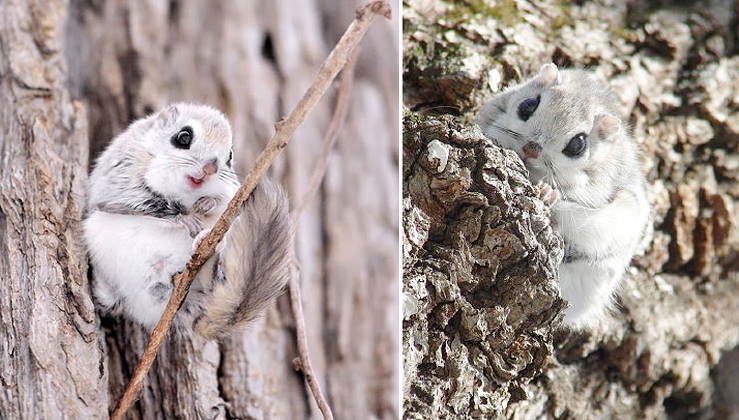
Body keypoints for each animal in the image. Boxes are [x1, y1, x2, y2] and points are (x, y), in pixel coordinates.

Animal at [84, 103, 292, 340]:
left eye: (230, 156)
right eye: (183, 137)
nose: (210, 168)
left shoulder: (232, 190)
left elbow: (225, 201)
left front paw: (208, 203)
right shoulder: (121, 179)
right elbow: (145, 203)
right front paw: (185, 218)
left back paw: (206, 242)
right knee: (111, 300)